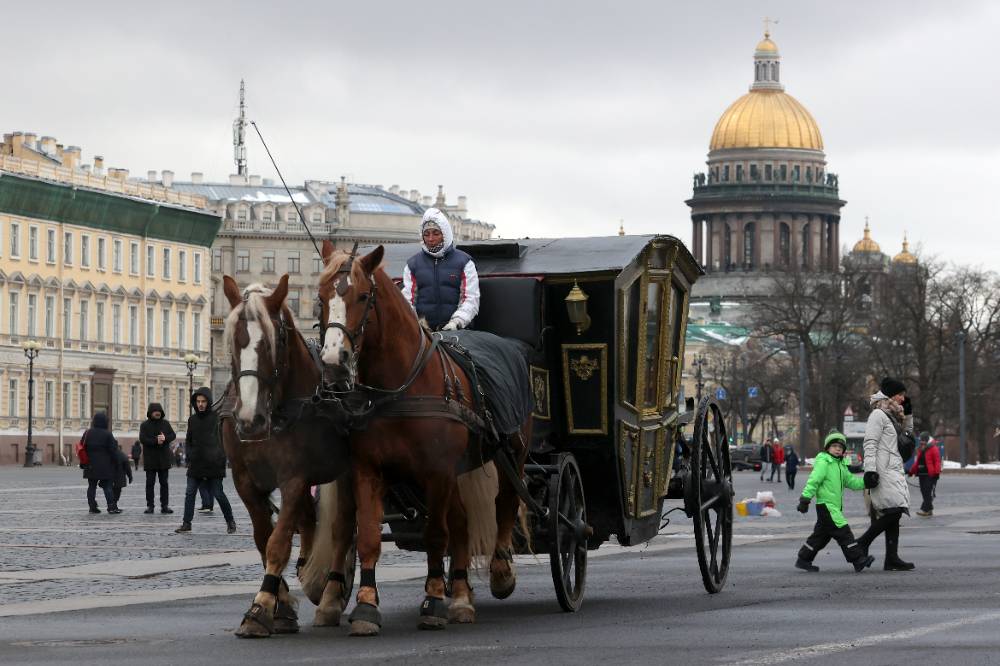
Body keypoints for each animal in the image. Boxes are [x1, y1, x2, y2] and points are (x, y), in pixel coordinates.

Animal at [223, 272, 360, 636]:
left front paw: (261, 607)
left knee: (343, 528)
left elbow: (279, 541)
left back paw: (330, 594)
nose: (250, 420)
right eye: (232, 342)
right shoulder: (244, 480)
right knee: (311, 522)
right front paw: (281, 605)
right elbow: (263, 537)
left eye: (275, 341)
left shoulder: (294, 478)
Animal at [318, 243, 532, 632]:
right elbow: (368, 534)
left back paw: (500, 572)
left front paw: (432, 601)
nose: (332, 360)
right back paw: (461, 595)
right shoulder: (368, 469)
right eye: (321, 295)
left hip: (512, 453)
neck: (401, 389)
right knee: (461, 522)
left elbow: (435, 534)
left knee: (505, 504)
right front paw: (366, 605)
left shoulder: (437, 472)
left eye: (362, 296)